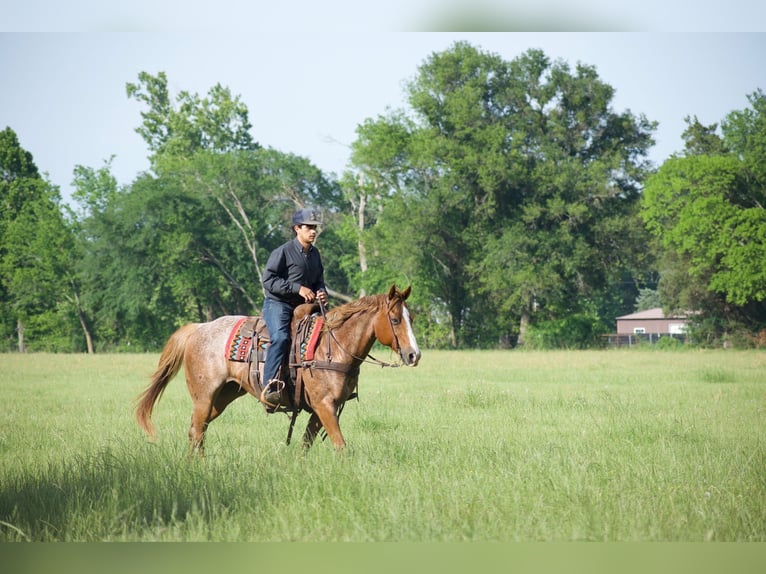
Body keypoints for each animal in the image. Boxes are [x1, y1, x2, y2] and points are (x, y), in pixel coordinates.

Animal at [135, 285, 421, 455]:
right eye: (395, 319)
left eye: (412, 318)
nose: (414, 355)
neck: (332, 345)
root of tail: (199, 328)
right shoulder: (324, 406)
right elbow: (340, 445)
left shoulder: (320, 410)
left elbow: (306, 444)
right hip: (204, 396)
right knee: (197, 431)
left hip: (223, 396)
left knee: (197, 429)